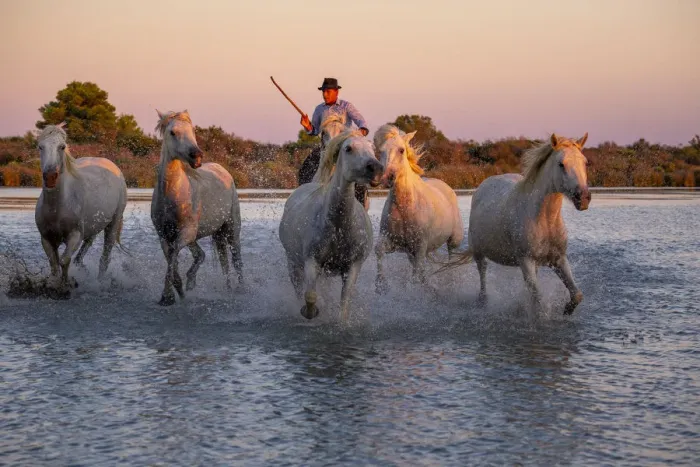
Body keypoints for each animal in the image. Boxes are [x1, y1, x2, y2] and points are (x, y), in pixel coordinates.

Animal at [35, 123, 127, 293]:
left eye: (62, 147)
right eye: (40, 147)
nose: (50, 177)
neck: (58, 208)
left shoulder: (74, 235)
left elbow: (64, 260)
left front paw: (65, 285)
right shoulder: (46, 238)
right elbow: (54, 265)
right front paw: (54, 284)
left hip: (114, 222)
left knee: (105, 257)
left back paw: (100, 282)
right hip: (92, 228)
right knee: (84, 250)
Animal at [151, 110, 243, 306]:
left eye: (192, 131)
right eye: (173, 132)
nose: (197, 156)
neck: (173, 194)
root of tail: (223, 170)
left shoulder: (185, 234)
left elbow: (173, 257)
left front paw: (167, 296)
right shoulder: (164, 236)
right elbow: (172, 262)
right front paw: (177, 292)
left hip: (231, 229)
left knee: (237, 260)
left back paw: (241, 289)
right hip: (205, 236)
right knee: (208, 257)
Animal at [279, 130, 383, 322]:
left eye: (373, 149)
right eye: (348, 148)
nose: (376, 169)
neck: (338, 227)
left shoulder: (353, 266)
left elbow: (345, 302)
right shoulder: (311, 261)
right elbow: (310, 295)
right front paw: (310, 312)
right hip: (293, 262)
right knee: (298, 288)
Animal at [373, 124, 464, 292]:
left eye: (401, 150)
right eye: (379, 151)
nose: (387, 177)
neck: (405, 207)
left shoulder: (420, 245)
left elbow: (416, 275)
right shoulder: (394, 242)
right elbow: (379, 250)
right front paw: (381, 285)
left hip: (454, 240)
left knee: (451, 258)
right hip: (411, 252)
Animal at [455, 133, 591, 315]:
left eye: (585, 162)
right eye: (561, 164)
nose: (583, 198)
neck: (544, 219)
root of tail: (485, 184)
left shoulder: (559, 259)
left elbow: (577, 294)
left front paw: (567, 310)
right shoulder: (526, 260)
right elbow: (538, 301)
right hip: (478, 252)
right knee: (482, 272)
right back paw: (483, 300)